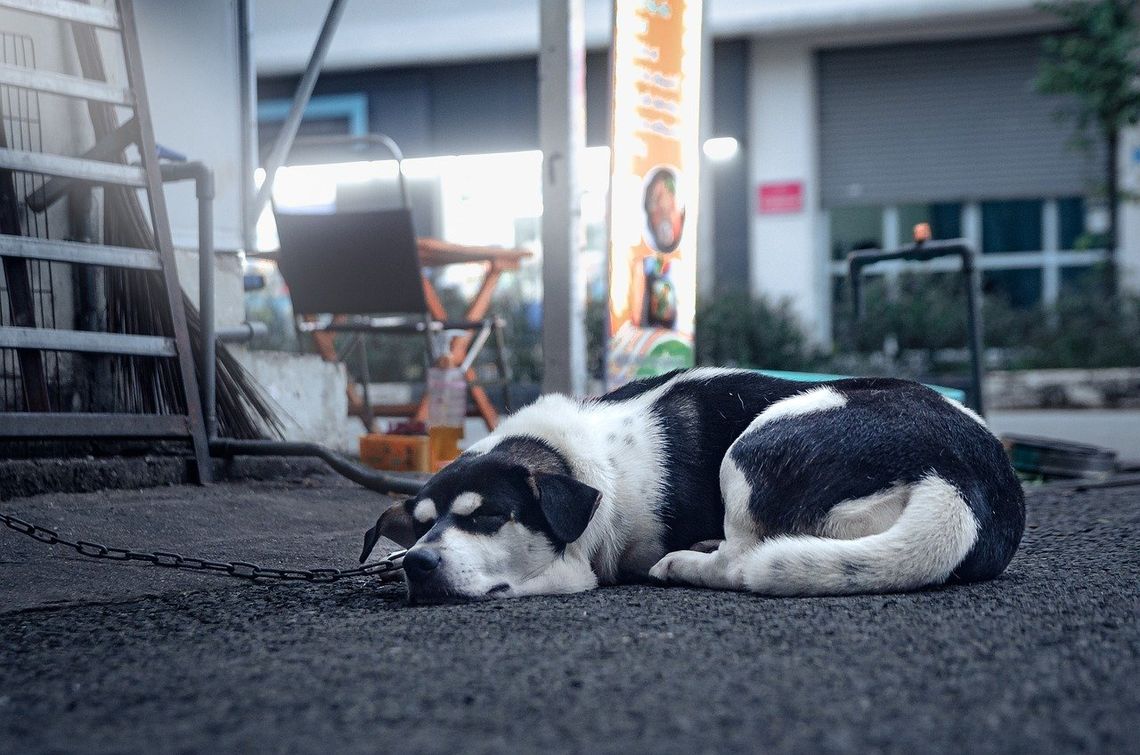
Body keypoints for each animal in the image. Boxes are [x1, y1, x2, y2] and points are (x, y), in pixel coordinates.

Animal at [362, 369, 1026, 606]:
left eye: (488, 516)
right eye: (418, 524)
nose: (418, 562)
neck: (571, 458)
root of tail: (962, 477)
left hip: (755, 443)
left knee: (744, 563)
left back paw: (687, 562)